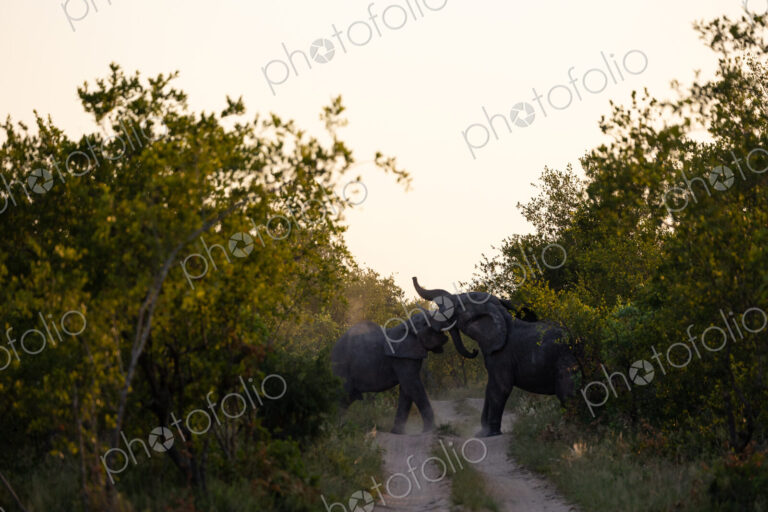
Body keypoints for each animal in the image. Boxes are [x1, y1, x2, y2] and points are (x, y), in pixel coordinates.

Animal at [331, 308, 464, 434]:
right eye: (426, 324)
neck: (407, 325)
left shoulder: (409, 355)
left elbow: (406, 389)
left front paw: (398, 432)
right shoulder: (402, 357)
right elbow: (412, 385)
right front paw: (429, 431)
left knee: (348, 398)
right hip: (341, 366)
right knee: (343, 395)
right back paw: (335, 430)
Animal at [413, 277, 579, 437]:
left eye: (459, 307)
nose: (474, 351)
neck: (500, 313)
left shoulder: (503, 353)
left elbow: (500, 387)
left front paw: (490, 433)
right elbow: (490, 388)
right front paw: (482, 433)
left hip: (564, 359)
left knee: (568, 395)